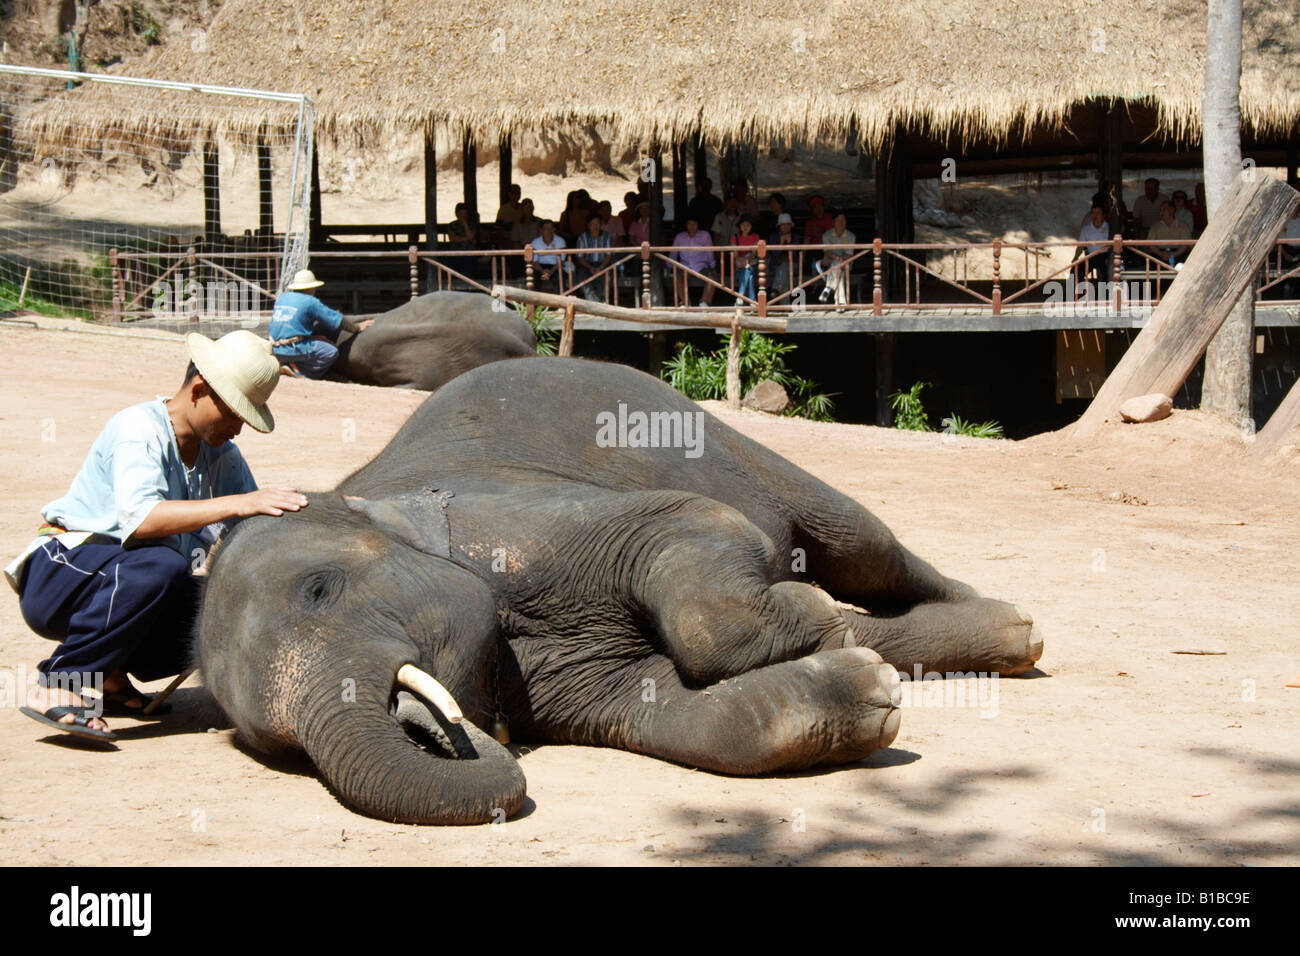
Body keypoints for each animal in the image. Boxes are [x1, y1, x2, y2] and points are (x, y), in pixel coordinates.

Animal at [198, 357, 1042, 824]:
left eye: (319, 589)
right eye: (278, 748)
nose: (451, 729)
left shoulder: (512, 518)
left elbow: (686, 525)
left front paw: (818, 617)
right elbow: (670, 712)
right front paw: (870, 691)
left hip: (714, 432)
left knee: (860, 544)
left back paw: (1014, 629)